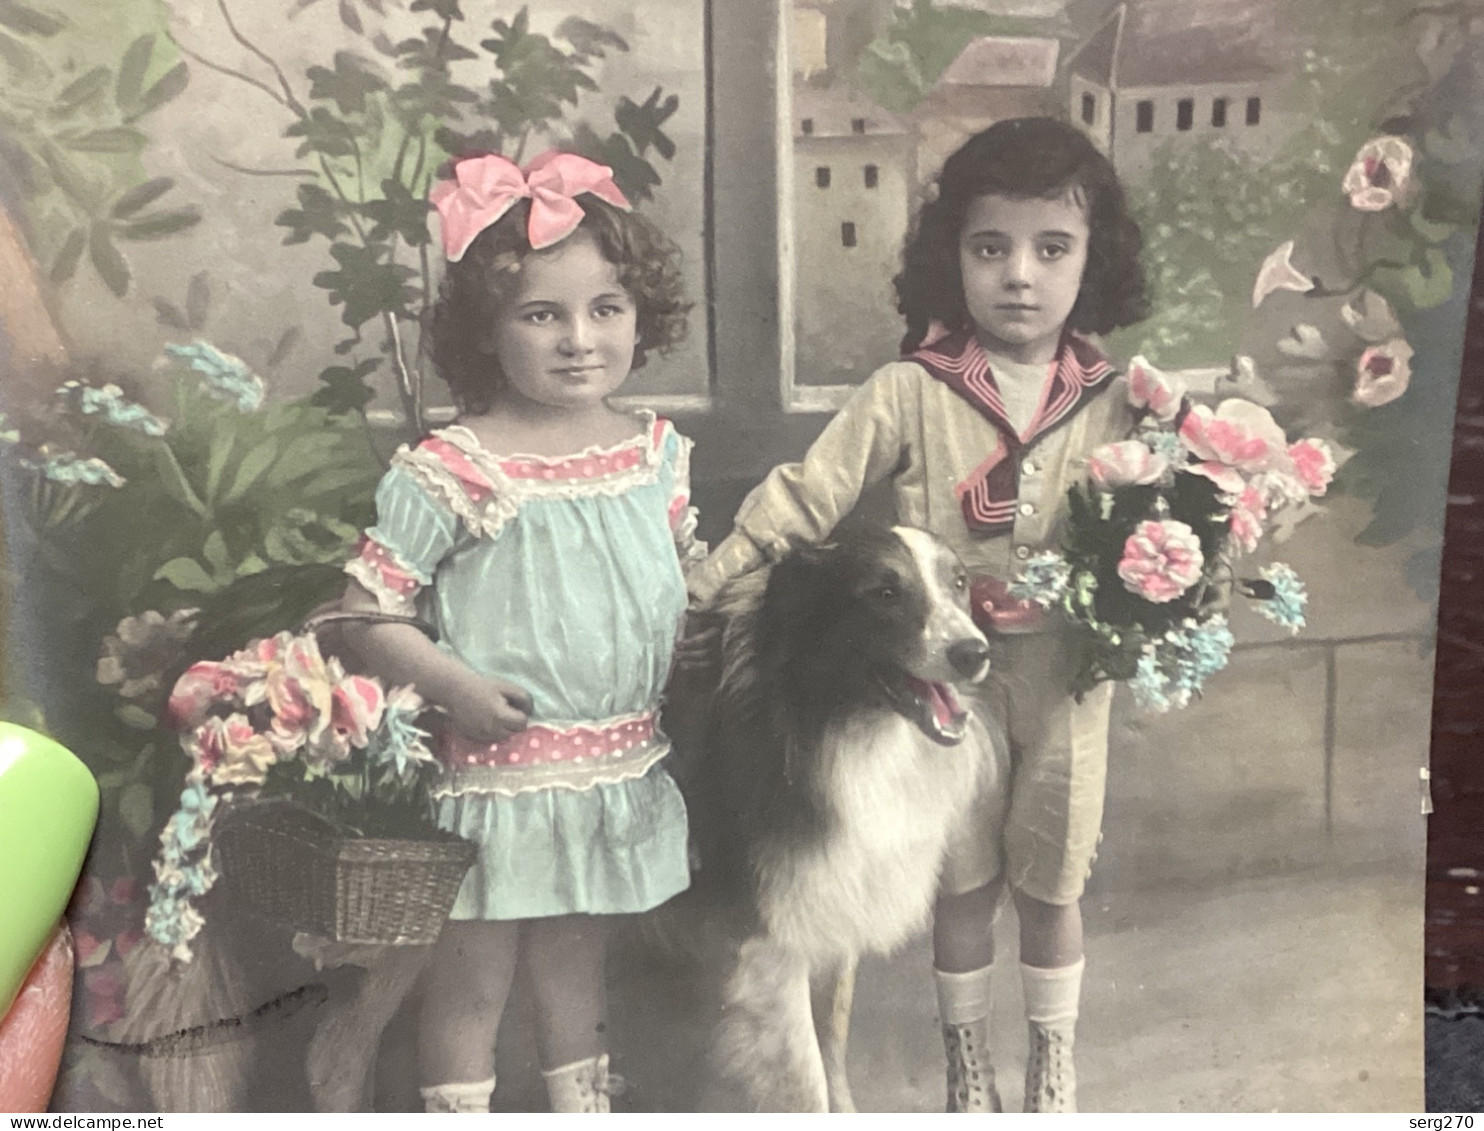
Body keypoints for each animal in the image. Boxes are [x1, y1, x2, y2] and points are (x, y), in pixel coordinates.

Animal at [682, 525, 1009, 1104]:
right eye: (885, 593)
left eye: (960, 583)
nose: (974, 653)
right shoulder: (770, 943)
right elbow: (808, 1080)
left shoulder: (834, 904)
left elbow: (832, 1047)